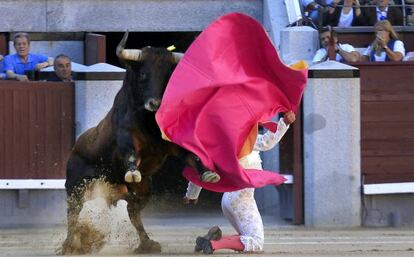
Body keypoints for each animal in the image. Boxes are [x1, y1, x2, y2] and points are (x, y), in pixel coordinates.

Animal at [60, 32, 220, 254]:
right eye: (143, 74)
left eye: (167, 77)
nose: (155, 103)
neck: (149, 121)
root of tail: (75, 146)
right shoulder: (127, 139)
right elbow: (130, 154)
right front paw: (132, 171)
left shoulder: (172, 144)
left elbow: (192, 154)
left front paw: (208, 173)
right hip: (76, 184)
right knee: (73, 211)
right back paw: (70, 244)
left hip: (142, 190)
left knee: (133, 211)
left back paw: (147, 243)